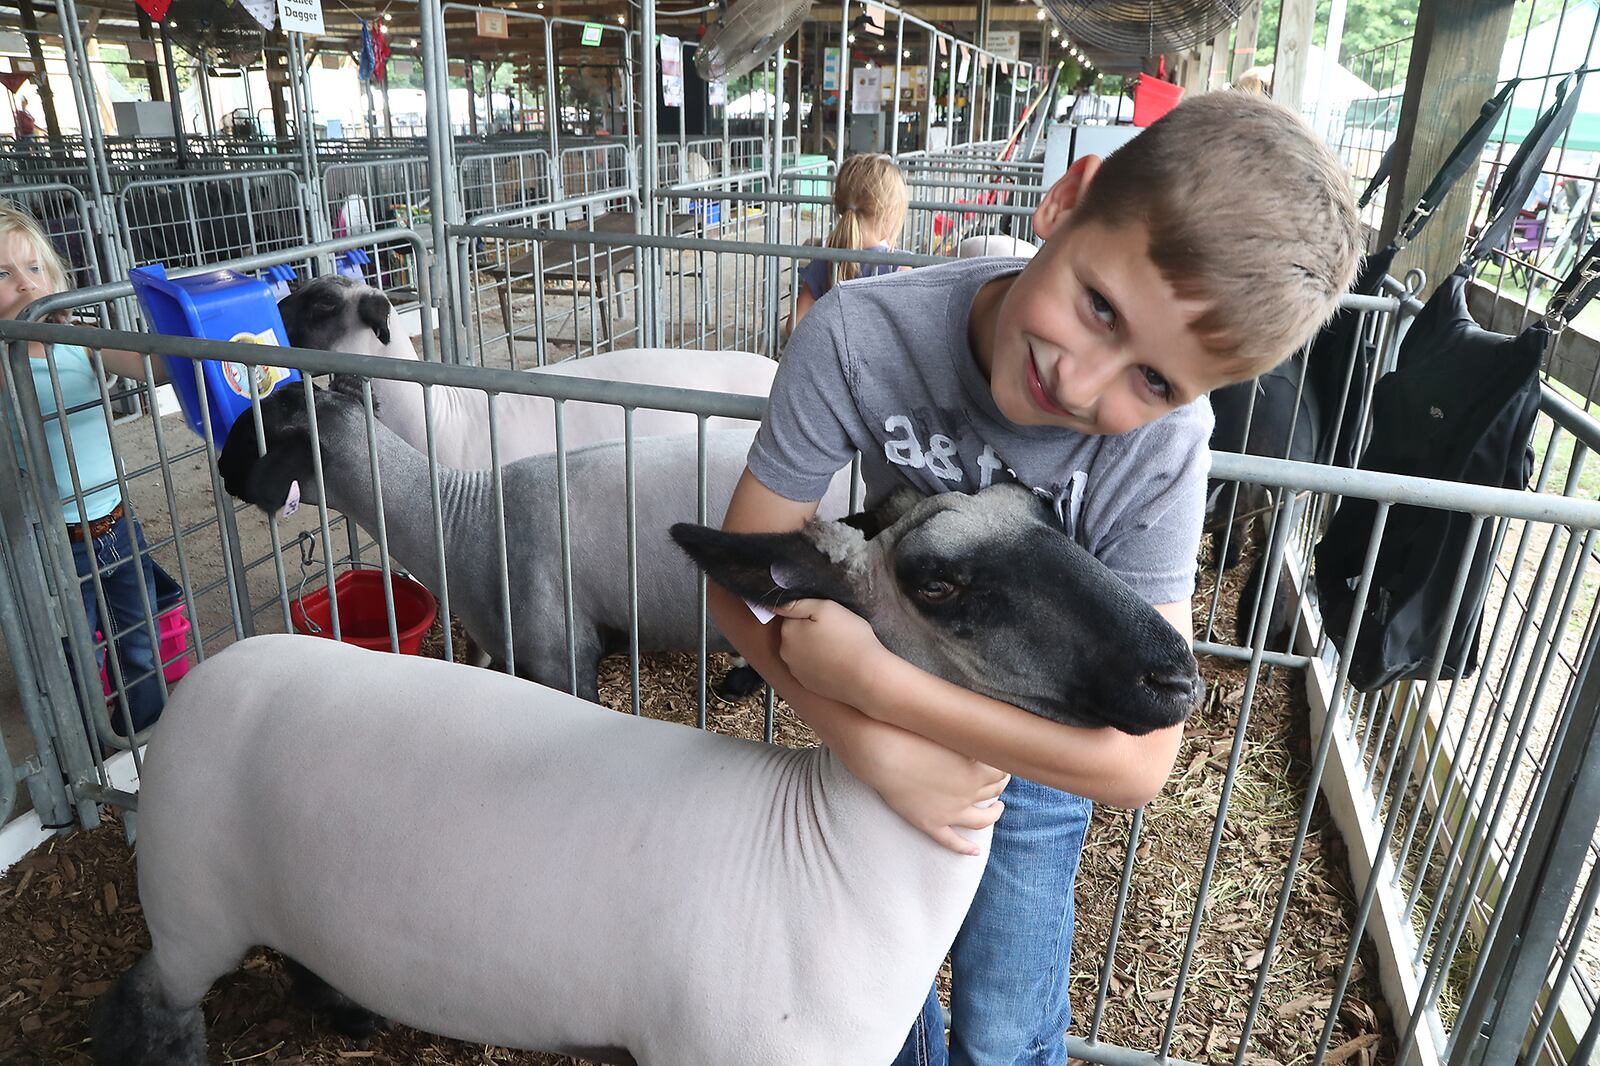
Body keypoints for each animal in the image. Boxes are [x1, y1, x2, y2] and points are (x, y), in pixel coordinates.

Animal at [90, 480, 1203, 1062]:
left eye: (1053, 511)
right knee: (146, 996)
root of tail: (212, 676)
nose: (1175, 673)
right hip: (191, 905)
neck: (829, 853)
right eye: (939, 583)